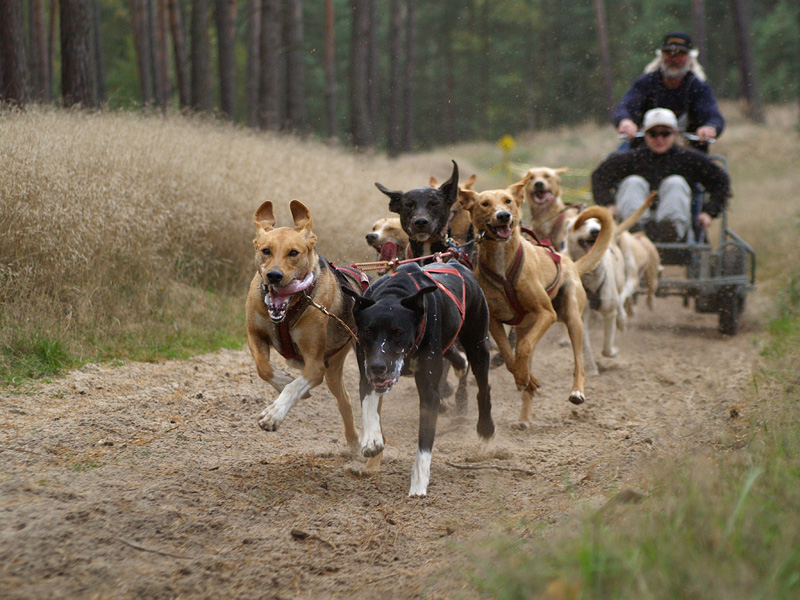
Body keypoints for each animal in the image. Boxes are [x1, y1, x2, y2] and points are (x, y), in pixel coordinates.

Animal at [245, 199, 370, 458]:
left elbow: (295, 386)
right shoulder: (254, 334)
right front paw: (281, 380)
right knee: (345, 401)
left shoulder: (314, 365)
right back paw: (353, 442)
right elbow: (263, 367)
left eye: (293, 252)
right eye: (266, 250)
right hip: (333, 369)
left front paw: (274, 414)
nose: (274, 275)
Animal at [342, 260, 494, 494]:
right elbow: (369, 405)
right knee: (456, 356)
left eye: (398, 332)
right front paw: (372, 439)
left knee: (483, 388)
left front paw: (419, 483)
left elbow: (425, 440)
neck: (394, 294)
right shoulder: (366, 372)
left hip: (478, 346)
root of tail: (455, 263)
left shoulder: (429, 391)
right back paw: (460, 364)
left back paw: (486, 430)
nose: (378, 366)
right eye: (368, 331)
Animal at [456, 185, 612, 424]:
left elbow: (523, 348)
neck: (503, 265)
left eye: (508, 201)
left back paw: (577, 391)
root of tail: (569, 261)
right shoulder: (494, 322)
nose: (503, 215)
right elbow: (510, 358)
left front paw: (526, 378)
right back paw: (524, 416)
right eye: (485, 204)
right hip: (526, 327)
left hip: (572, 319)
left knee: (578, 362)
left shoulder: (546, 313)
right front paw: (526, 379)